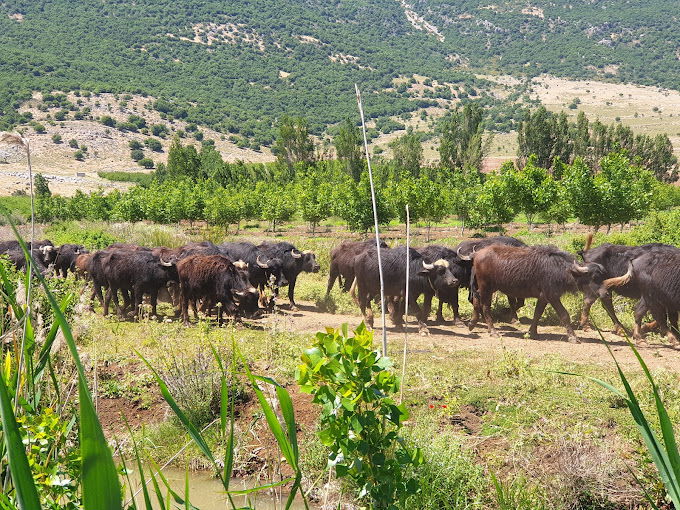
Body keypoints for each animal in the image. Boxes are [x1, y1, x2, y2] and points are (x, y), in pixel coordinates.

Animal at [468, 243, 604, 342]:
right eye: (594, 277)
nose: (604, 293)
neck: (563, 269)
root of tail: (477, 254)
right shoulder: (552, 296)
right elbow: (564, 314)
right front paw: (573, 337)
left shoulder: (543, 297)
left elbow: (537, 314)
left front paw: (532, 333)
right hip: (486, 287)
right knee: (485, 306)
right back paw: (493, 331)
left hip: (488, 287)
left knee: (476, 298)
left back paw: (472, 323)